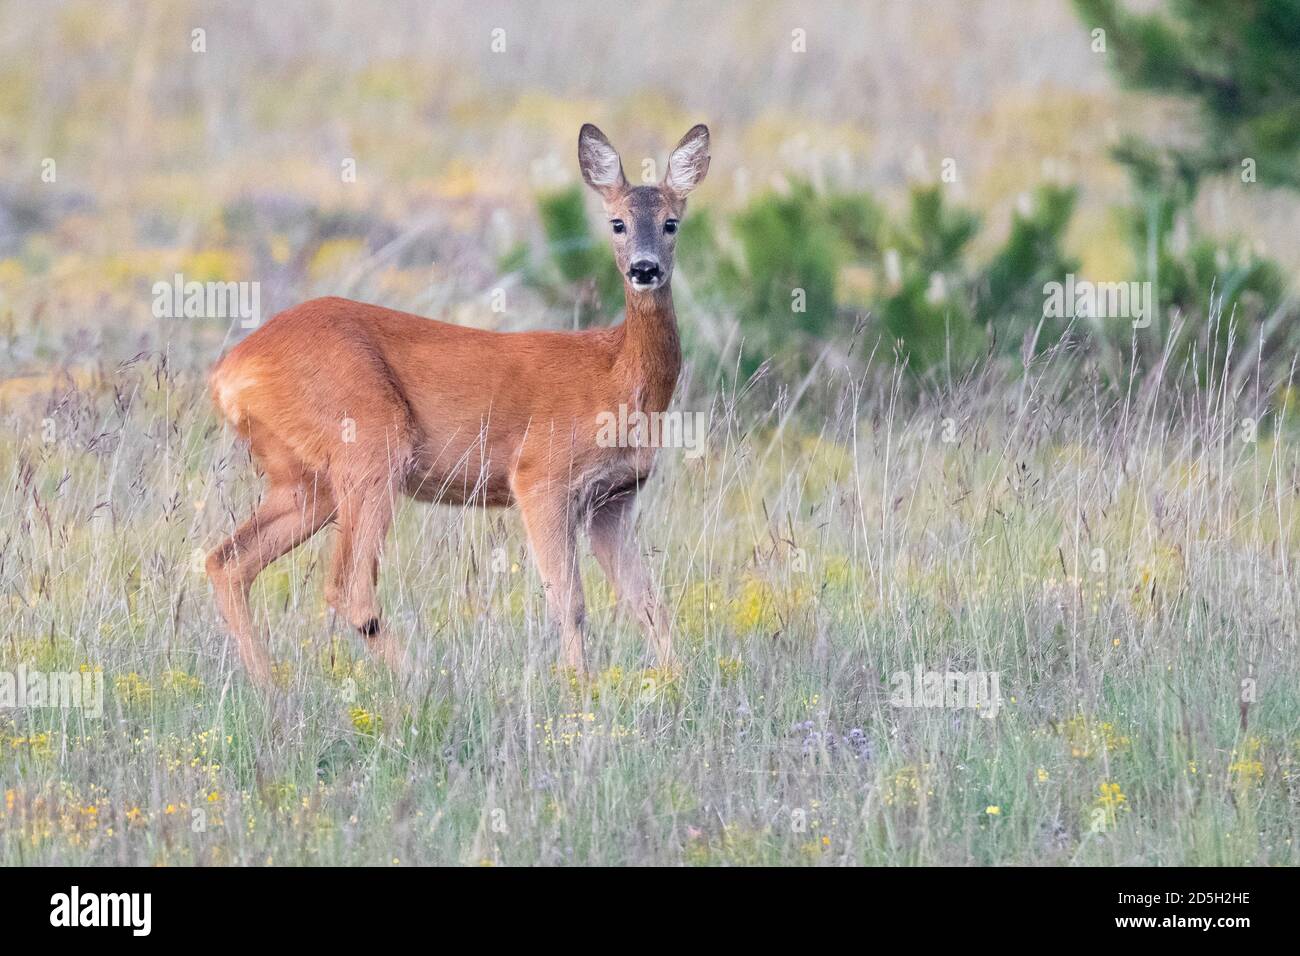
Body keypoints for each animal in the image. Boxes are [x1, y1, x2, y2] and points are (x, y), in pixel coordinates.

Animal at [208, 121, 712, 686]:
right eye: (617, 222)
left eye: (671, 222)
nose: (645, 270)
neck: (617, 378)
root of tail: (228, 372)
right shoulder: (540, 476)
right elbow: (570, 602)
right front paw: (577, 687)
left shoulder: (614, 498)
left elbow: (646, 602)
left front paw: (674, 682)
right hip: (370, 445)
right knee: (347, 588)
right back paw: (420, 683)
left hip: (303, 480)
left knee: (228, 560)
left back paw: (270, 687)